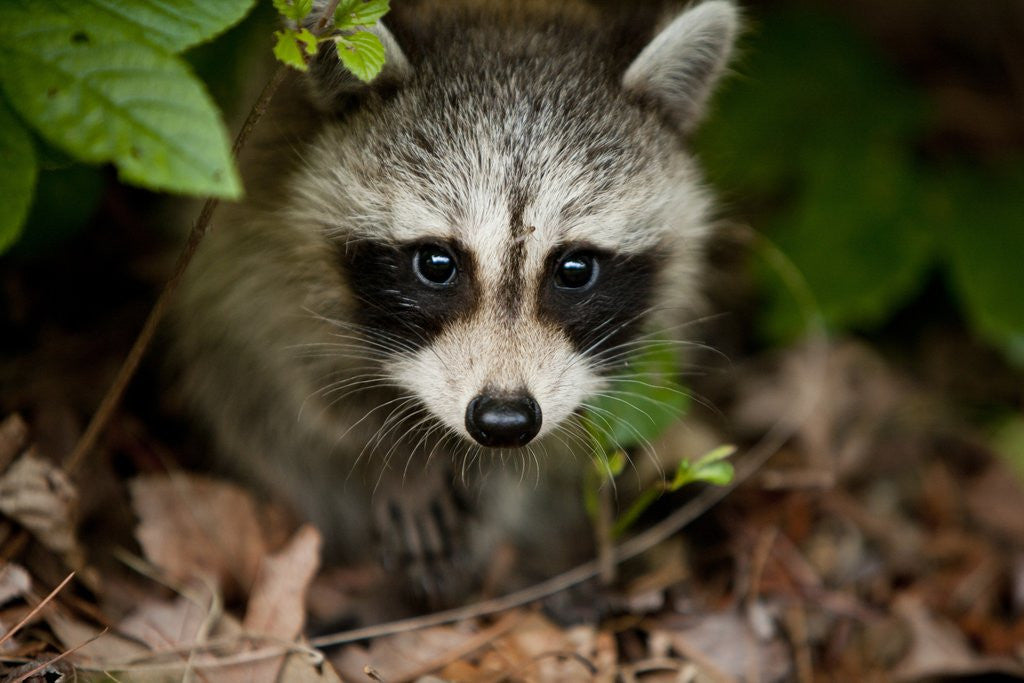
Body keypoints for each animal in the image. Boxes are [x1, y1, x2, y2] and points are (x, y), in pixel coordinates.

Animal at [169, 0, 739, 606]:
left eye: (575, 270)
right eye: (437, 264)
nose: (504, 421)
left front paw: (478, 485)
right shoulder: (264, 248)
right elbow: (302, 379)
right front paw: (397, 460)